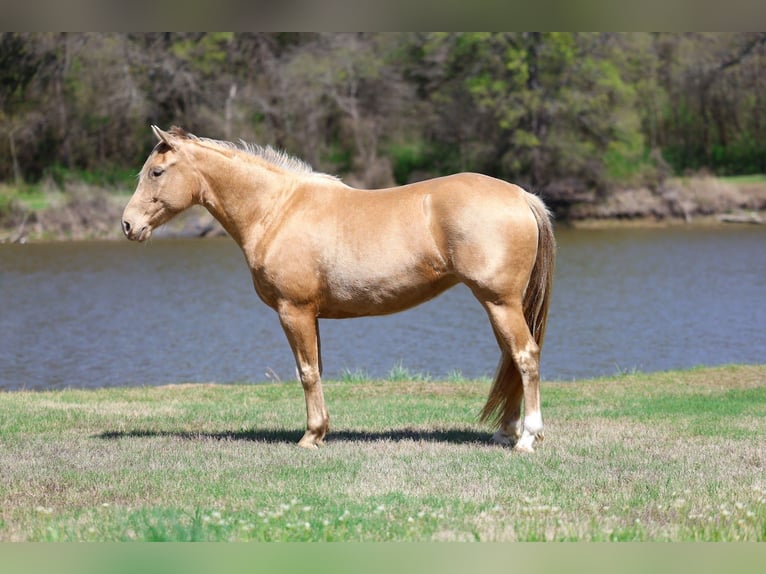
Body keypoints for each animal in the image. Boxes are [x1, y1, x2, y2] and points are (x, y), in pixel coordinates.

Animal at [122, 125, 556, 452]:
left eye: (156, 172)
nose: (128, 224)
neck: (276, 210)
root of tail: (521, 195)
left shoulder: (293, 310)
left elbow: (307, 372)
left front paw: (310, 436)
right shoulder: (311, 315)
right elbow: (317, 369)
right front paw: (321, 432)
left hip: (499, 302)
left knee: (525, 356)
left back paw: (527, 438)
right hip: (498, 305)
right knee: (511, 358)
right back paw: (506, 431)